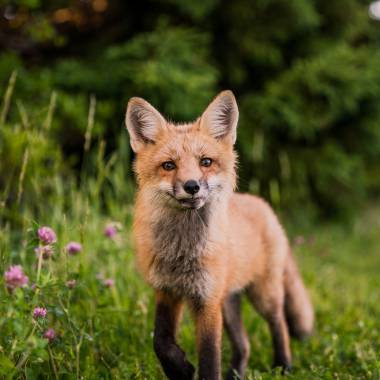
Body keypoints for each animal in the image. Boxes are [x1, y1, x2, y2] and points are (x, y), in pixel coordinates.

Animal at [126, 90, 314, 378]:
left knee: (279, 323)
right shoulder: (167, 290)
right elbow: (161, 341)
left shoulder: (207, 300)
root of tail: (262, 204)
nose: (191, 186)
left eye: (206, 162)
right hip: (229, 303)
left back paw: (284, 365)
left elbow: (209, 357)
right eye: (168, 165)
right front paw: (180, 369)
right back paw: (237, 373)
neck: (182, 252)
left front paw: (192, 369)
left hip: (263, 294)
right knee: (245, 344)